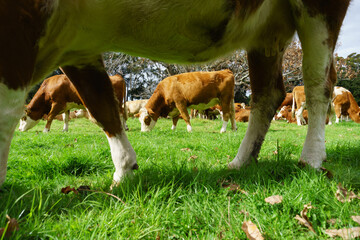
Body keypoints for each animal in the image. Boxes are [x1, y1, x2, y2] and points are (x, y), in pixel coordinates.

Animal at [0, 0, 350, 188]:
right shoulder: (80, 46)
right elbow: (102, 109)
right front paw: (125, 171)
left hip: (318, 10)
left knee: (319, 83)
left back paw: (311, 157)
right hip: (268, 30)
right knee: (267, 94)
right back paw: (241, 161)